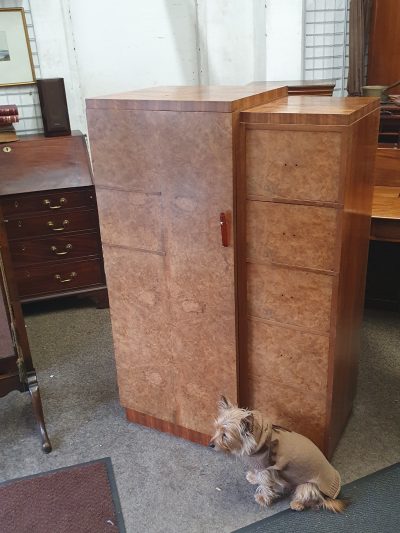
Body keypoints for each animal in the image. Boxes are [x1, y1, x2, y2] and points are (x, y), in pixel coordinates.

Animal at [209, 394, 346, 512]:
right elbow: (258, 476)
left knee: (313, 499)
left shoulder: (265, 469)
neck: (259, 439)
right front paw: (253, 477)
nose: (210, 444)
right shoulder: (260, 467)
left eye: (225, 436)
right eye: (216, 428)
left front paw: (263, 498)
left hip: (307, 486)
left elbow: (265, 485)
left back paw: (297, 504)